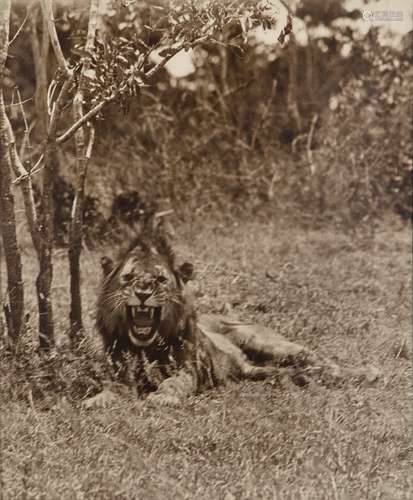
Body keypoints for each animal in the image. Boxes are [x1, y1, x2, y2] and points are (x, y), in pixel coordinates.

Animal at [86, 221, 376, 408]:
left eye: (160, 280)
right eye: (129, 278)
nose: (143, 292)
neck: (144, 347)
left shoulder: (187, 370)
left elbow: (174, 383)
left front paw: (162, 397)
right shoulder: (121, 373)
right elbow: (111, 388)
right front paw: (97, 400)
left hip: (268, 343)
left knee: (321, 360)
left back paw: (363, 373)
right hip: (255, 369)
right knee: (288, 371)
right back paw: (300, 378)